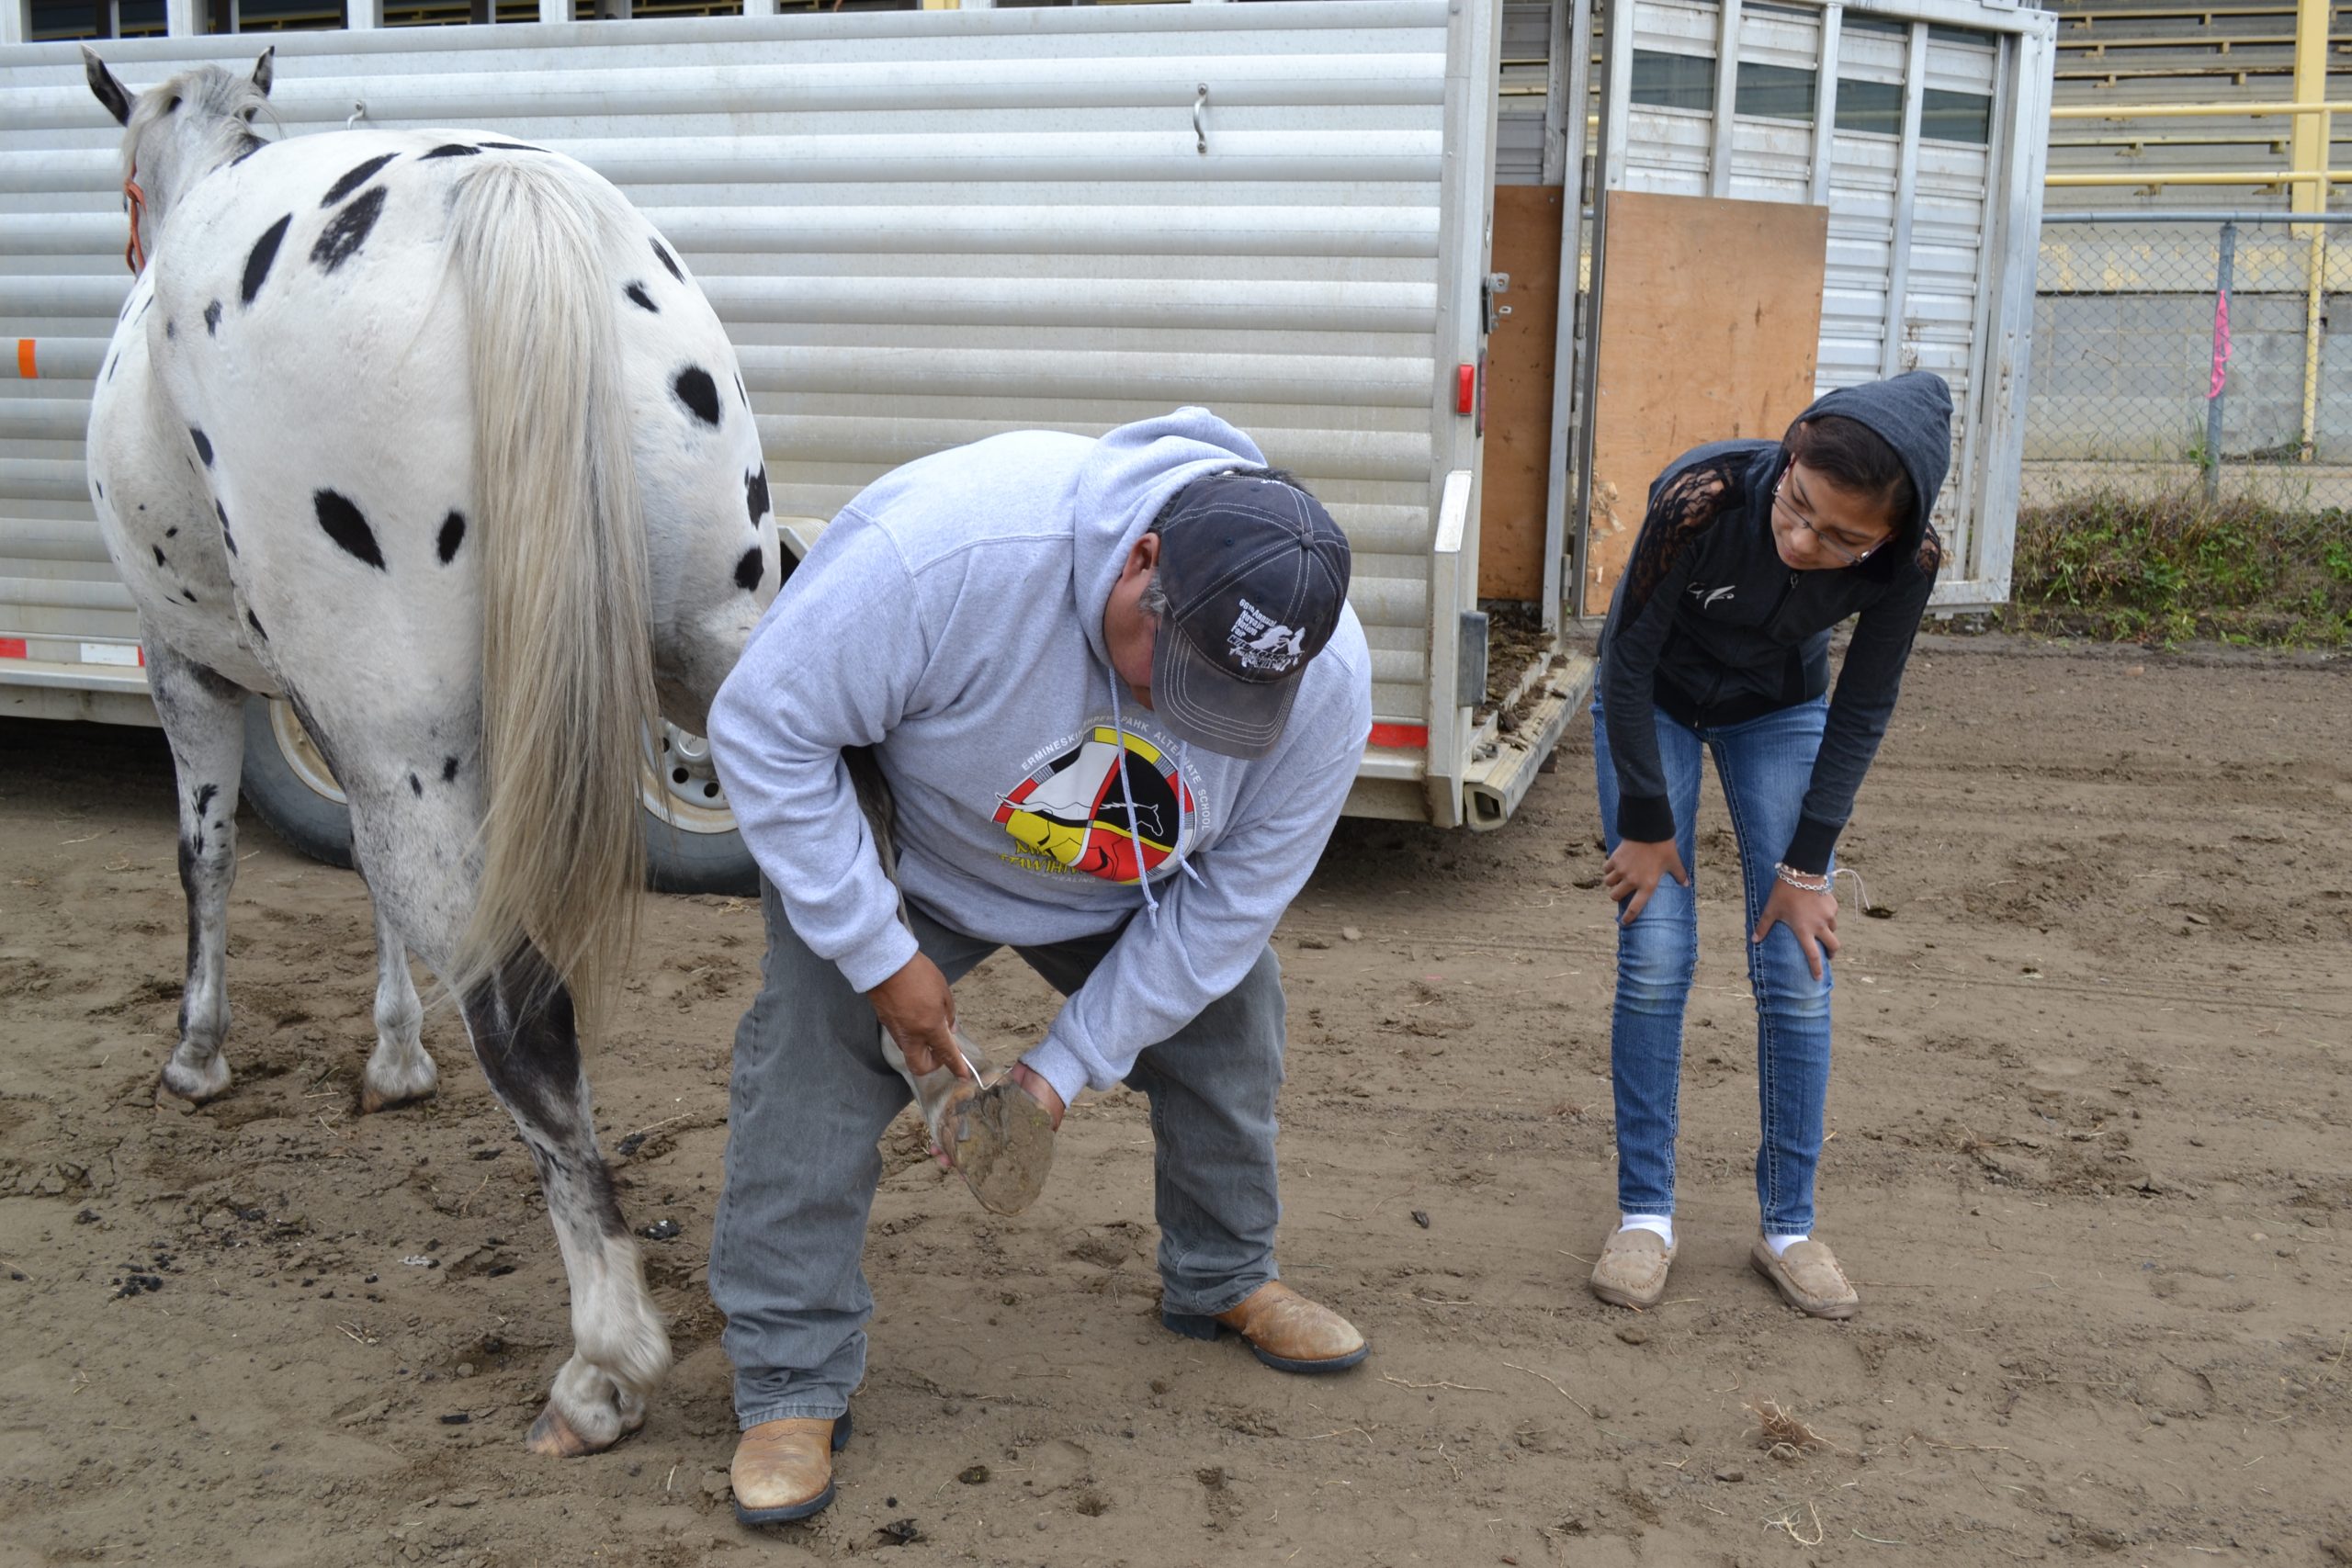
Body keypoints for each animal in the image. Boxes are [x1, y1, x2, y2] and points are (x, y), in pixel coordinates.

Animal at [80, 49, 790, 1457]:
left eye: (127, 188)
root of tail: (505, 200)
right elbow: (369, 888)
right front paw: (398, 1054)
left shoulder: (190, 674)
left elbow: (207, 861)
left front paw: (199, 1053)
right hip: (722, 661)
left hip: (406, 738)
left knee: (526, 1020)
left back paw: (604, 1362)